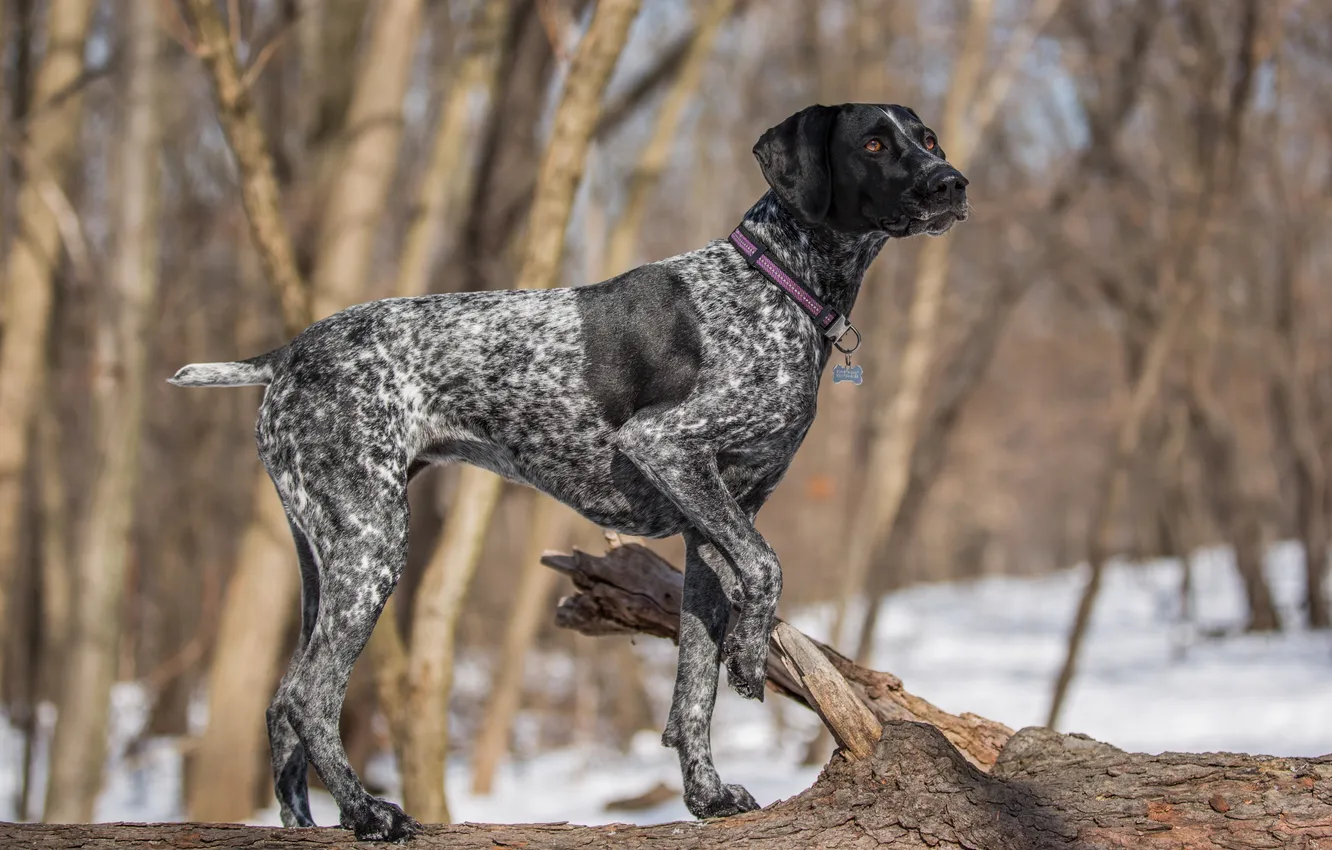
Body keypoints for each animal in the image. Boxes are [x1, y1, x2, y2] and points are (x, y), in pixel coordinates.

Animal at [171, 103, 975, 842]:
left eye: (928, 138)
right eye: (874, 145)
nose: (953, 183)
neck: (777, 281)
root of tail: (289, 355)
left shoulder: (710, 531)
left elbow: (693, 687)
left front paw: (707, 796)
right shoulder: (668, 449)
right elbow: (768, 570)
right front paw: (751, 658)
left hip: (324, 554)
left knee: (280, 705)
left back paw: (306, 825)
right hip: (371, 547)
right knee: (308, 697)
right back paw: (371, 814)